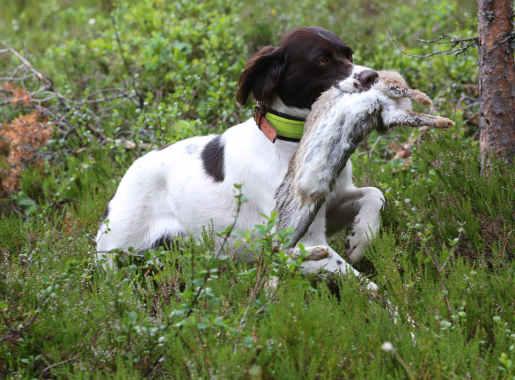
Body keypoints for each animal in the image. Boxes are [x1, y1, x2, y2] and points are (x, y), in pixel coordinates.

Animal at [98, 26, 382, 280]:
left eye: (349, 54)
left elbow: (375, 194)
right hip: (120, 248)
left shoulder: (331, 206)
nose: (373, 76)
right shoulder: (303, 239)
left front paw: (360, 238)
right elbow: (363, 285)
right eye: (322, 59)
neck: (292, 143)